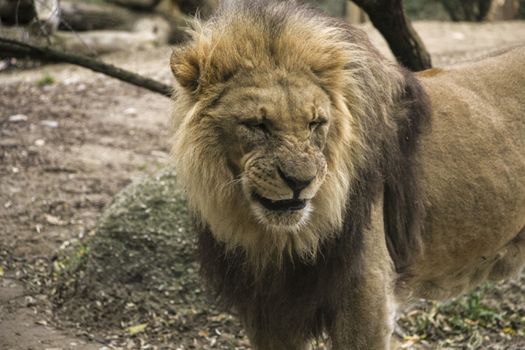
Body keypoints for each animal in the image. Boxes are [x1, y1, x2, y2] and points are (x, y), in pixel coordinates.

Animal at [169, 1, 524, 348]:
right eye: (258, 125)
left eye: (316, 123)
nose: (300, 183)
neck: (276, 240)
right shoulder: (268, 309)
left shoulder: (367, 298)